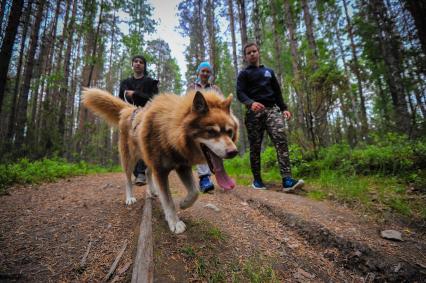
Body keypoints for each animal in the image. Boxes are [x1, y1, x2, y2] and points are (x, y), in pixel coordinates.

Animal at [81, 89, 238, 235]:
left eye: (229, 132)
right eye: (211, 132)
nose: (234, 152)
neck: (169, 132)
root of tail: (129, 109)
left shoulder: (182, 166)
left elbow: (194, 192)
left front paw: (184, 203)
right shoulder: (161, 171)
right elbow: (168, 200)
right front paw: (174, 222)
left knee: (147, 171)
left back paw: (152, 190)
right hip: (129, 159)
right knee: (128, 179)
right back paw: (130, 197)